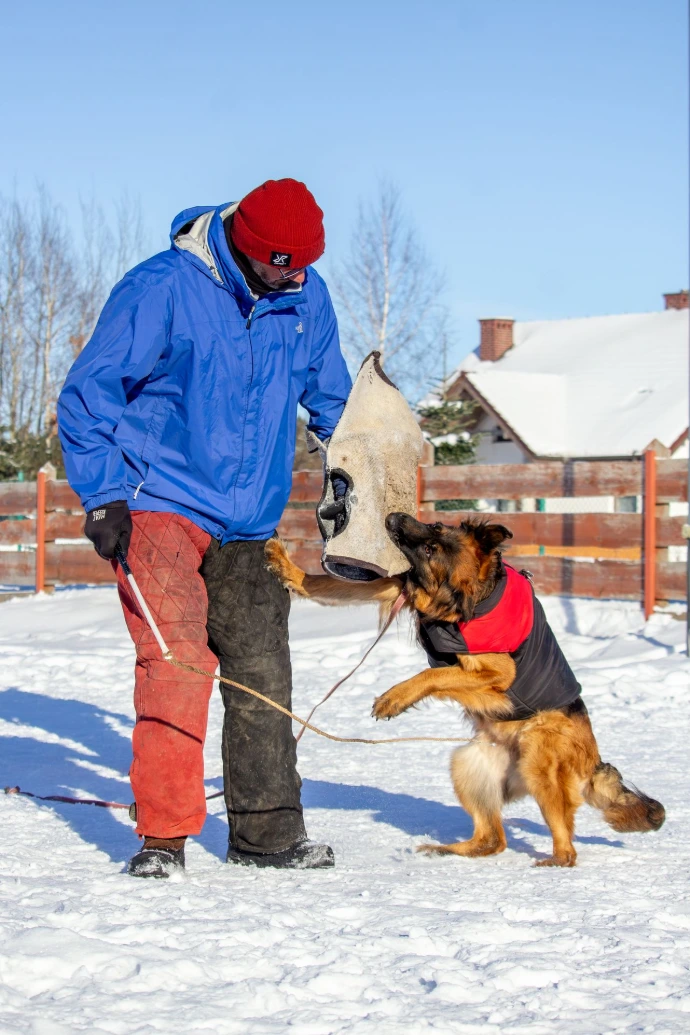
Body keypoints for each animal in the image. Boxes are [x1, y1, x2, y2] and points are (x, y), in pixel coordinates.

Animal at [265, 513, 665, 867]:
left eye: (430, 547)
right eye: (435, 526)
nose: (394, 517)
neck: (465, 600)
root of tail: (593, 760)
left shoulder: (498, 675)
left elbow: (434, 675)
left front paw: (394, 697)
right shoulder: (396, 587)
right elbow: (320, 583)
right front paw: (288, 567)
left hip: (537, 762)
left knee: (565, 847)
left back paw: (553, 861)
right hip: (468, 767)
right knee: (492, 840)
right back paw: (445, 851)